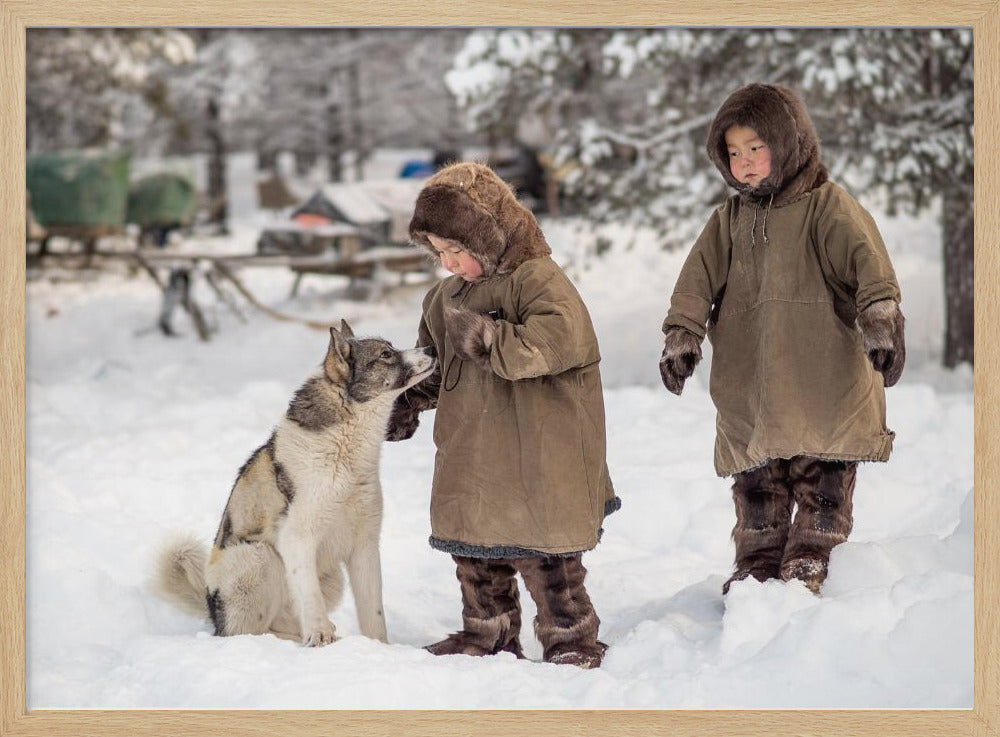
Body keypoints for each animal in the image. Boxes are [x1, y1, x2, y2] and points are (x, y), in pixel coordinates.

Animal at [154, 320, 436, 644]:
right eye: (386, 354)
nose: (432, 349)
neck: (344, 449)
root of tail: (212, 612)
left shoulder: (364, 546)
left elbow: (373, 612)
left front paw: (379, 647)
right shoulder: (298, 538)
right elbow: (311, 596)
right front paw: (321, 636)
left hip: (331, 577)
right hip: (257, 556)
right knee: (248, 630)